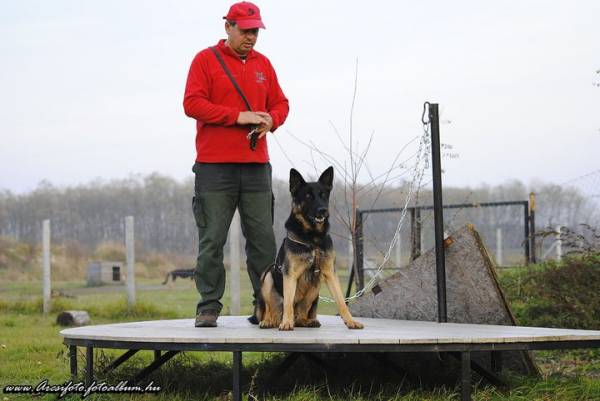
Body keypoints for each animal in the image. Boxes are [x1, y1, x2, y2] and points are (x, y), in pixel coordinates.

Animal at [255, 167, 364, 330]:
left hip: (315, 287)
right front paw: (286, 323)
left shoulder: (330, 274)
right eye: (308, 196)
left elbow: (341, 301)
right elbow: (288, 302)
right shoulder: (290, 275)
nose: (323, 210)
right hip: (267, 276)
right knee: (271, 308)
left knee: (302, 314)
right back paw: (270, 321)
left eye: (323, 195)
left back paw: (307, 320)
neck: (313, 239)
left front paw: (350, 321)